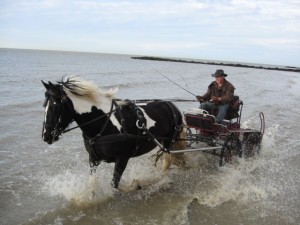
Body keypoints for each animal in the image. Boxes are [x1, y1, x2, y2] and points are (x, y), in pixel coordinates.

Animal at [41, 76, 186, 191]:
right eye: (44, 106)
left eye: (54, 107)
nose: (45, 135)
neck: (104, 123)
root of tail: (172, 106)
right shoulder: (93, 158)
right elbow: (92, 184)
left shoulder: (122, 159)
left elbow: (114, 184)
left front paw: (134, 185)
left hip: (168, 141)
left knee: (167, 161)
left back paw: (161, 180)